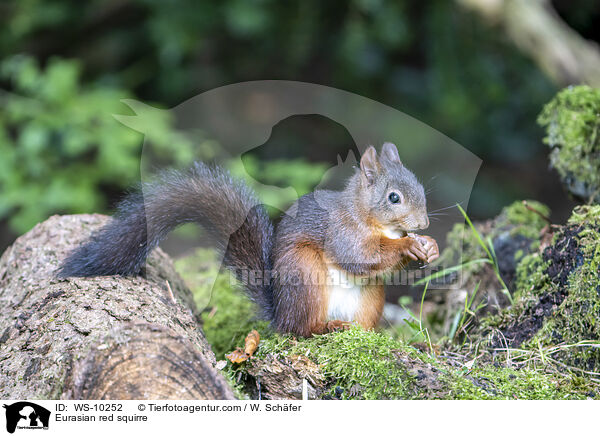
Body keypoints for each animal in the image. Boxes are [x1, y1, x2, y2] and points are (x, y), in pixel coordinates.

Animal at [58, 143, 438, 338]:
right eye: (393, 198)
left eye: (421, 188)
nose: (423, 223)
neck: (375, 222)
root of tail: (279, 313)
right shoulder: (342, 231)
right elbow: (358, 256)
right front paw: (407, 246)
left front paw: (429, 247)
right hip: (304, 274)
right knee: (300, 330)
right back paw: (324, 325)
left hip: (371, 298)